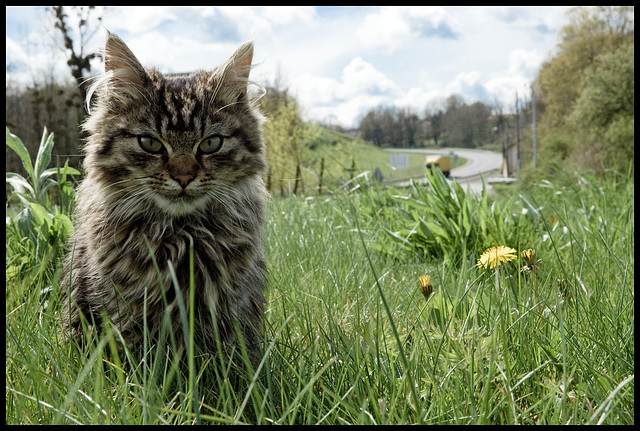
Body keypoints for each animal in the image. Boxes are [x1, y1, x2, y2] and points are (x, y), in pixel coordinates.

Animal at [62, 32, 268, 360]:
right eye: (150, 143)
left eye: (210, 143)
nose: (183, 177)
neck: (179, 235)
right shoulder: (120, 308)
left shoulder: (229, 308)